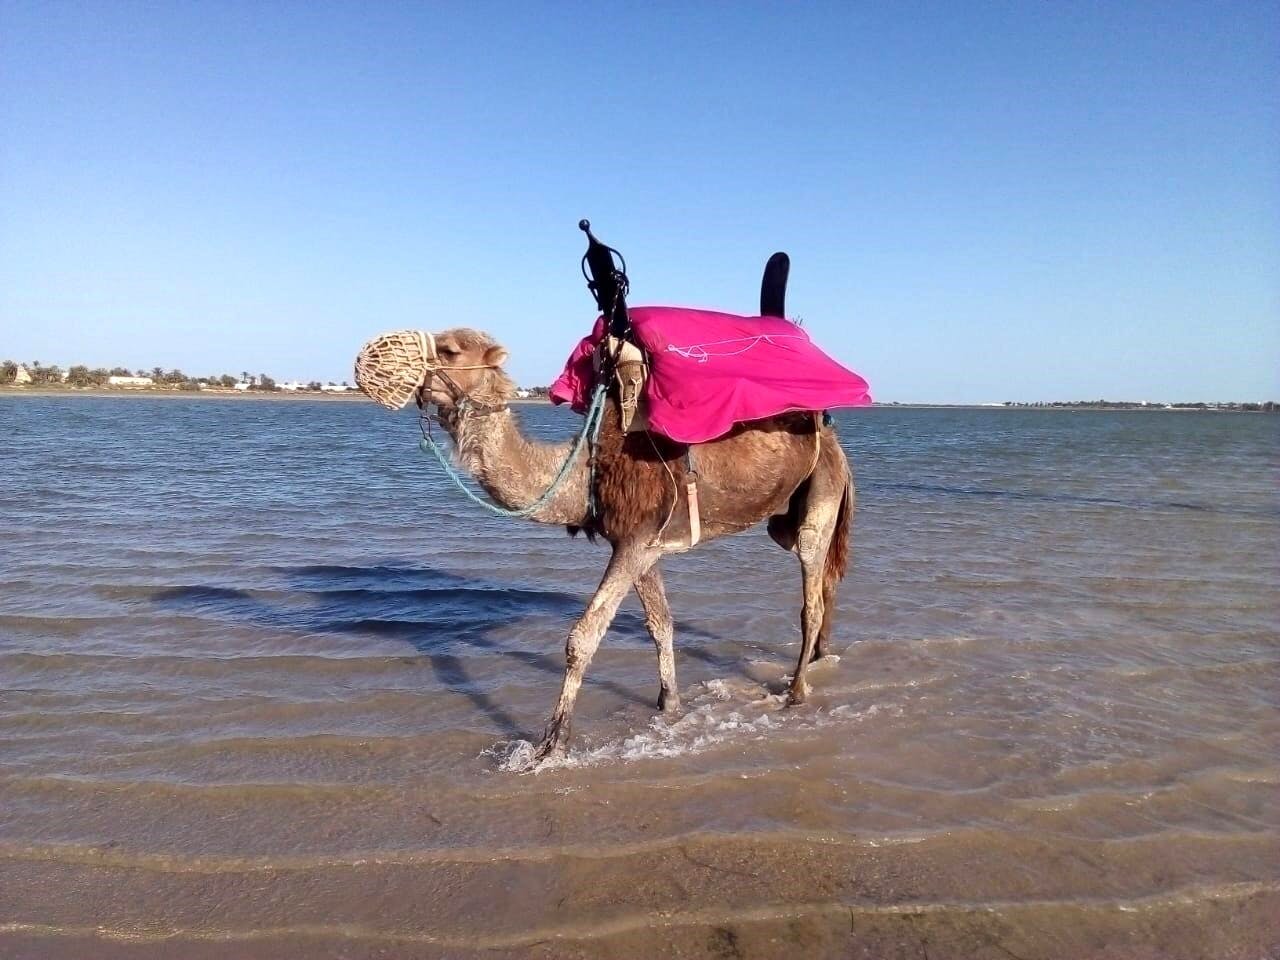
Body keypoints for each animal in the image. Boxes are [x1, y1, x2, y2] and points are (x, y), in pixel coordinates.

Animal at [418, 329, 854, 766]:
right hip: (790, 515)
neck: (588, 471)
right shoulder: (642, 546)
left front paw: (553, 744)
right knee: (826, 582)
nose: (410, 376)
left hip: (821, 490)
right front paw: (669, 706)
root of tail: (834, 439)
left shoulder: (635, 542)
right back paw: (822, 658)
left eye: (450, 350)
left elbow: (583, 637)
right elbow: (661, 624)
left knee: (811, 593)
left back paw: (796, 691)